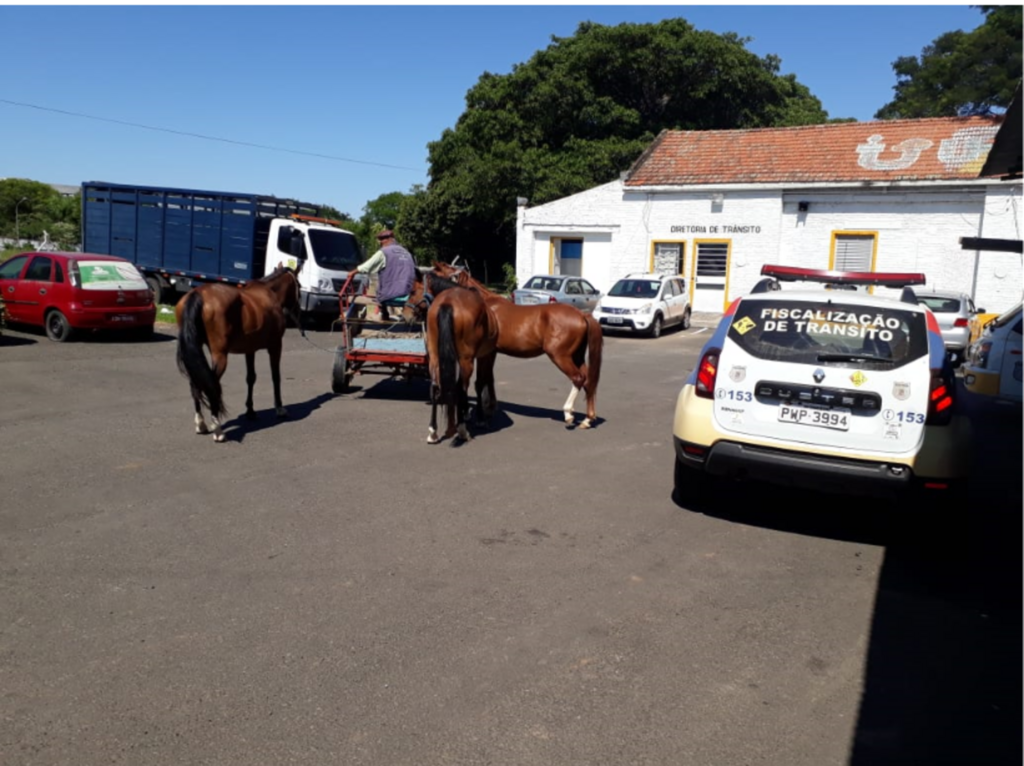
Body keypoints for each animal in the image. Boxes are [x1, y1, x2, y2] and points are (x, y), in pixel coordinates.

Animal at [174, 264, 301, 442]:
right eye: (299, 286)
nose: (298, 310)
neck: (270, 293)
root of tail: (197, 293)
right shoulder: (275, 346)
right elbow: (276, 377)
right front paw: (280, 408)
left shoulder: (250, 350)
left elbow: (251, 378)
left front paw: (250, 411)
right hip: (220, 356)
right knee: (211, 385)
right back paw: (218, 430)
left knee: (195, 384)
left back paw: (201, 424)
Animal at [401, 272, 497, 446]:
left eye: (412, 292)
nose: (405, 314)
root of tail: (448, 303)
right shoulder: (484, 356)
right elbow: (479, 384)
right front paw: (478, 417)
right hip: (466, 361)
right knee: (462, 388)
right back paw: (462, 430)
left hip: (435, 357)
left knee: (435, 387)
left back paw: (433, 432)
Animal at [430, 264, 602, 428]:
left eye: (434, 275)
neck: (484, 308)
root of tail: (582, 315)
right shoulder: (492, 353)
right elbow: (489, 379)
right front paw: (490, 409)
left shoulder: (484, 354)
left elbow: (480, 382)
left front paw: (480, 418)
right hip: (576, 356)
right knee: (588, 380)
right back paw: (587, 419)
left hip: (561, 356)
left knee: (578, 378)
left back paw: (568, 413)